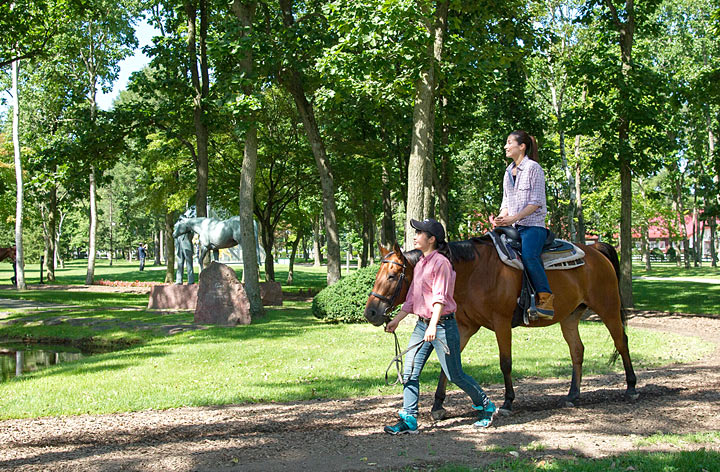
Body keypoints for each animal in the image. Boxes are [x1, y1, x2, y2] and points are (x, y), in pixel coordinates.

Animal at [366, 240, 636, 416]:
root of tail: (595, 250)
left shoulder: (502, 323)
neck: (473, 273)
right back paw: (572, 395)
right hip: (570, 317)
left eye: (392, 276)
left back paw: (631, 387)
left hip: (608, 308)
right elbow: (449, 365)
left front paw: (507, 402)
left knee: (621, 342)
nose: (371, 312)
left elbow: (505, 362)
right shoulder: (465, 327)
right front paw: (438, 405)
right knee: (577, 351)